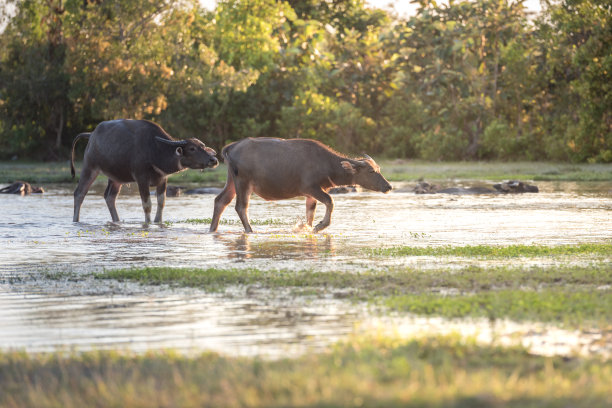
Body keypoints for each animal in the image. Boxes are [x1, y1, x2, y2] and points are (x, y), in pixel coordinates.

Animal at [71, 118, 219, 223]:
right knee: (79, 193)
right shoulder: (141, 179)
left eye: (203, 146)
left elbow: (161, 202)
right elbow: (147, 204)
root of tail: (91, 135)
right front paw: (147, 223)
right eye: (192, 148)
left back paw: (117, 221)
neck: (155, 150)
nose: (213, 160)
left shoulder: (163, 179)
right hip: (90, 167)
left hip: (115, 178)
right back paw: (76, 220)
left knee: (109, 197)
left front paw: (158, 222)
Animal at [210, 137, 392, 233]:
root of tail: (232, 146)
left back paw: (213, 229)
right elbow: (330, 201)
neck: (326, 164)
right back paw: (250, 230)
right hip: (243, 182)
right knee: (241, 207)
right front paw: (320, 226)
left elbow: (310, 212)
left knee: (220, 201)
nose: (388, 186)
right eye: (371, 171)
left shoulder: (310, 194)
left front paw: (308, 227)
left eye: (378, 169)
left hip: (231, 181)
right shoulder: (310, 188)